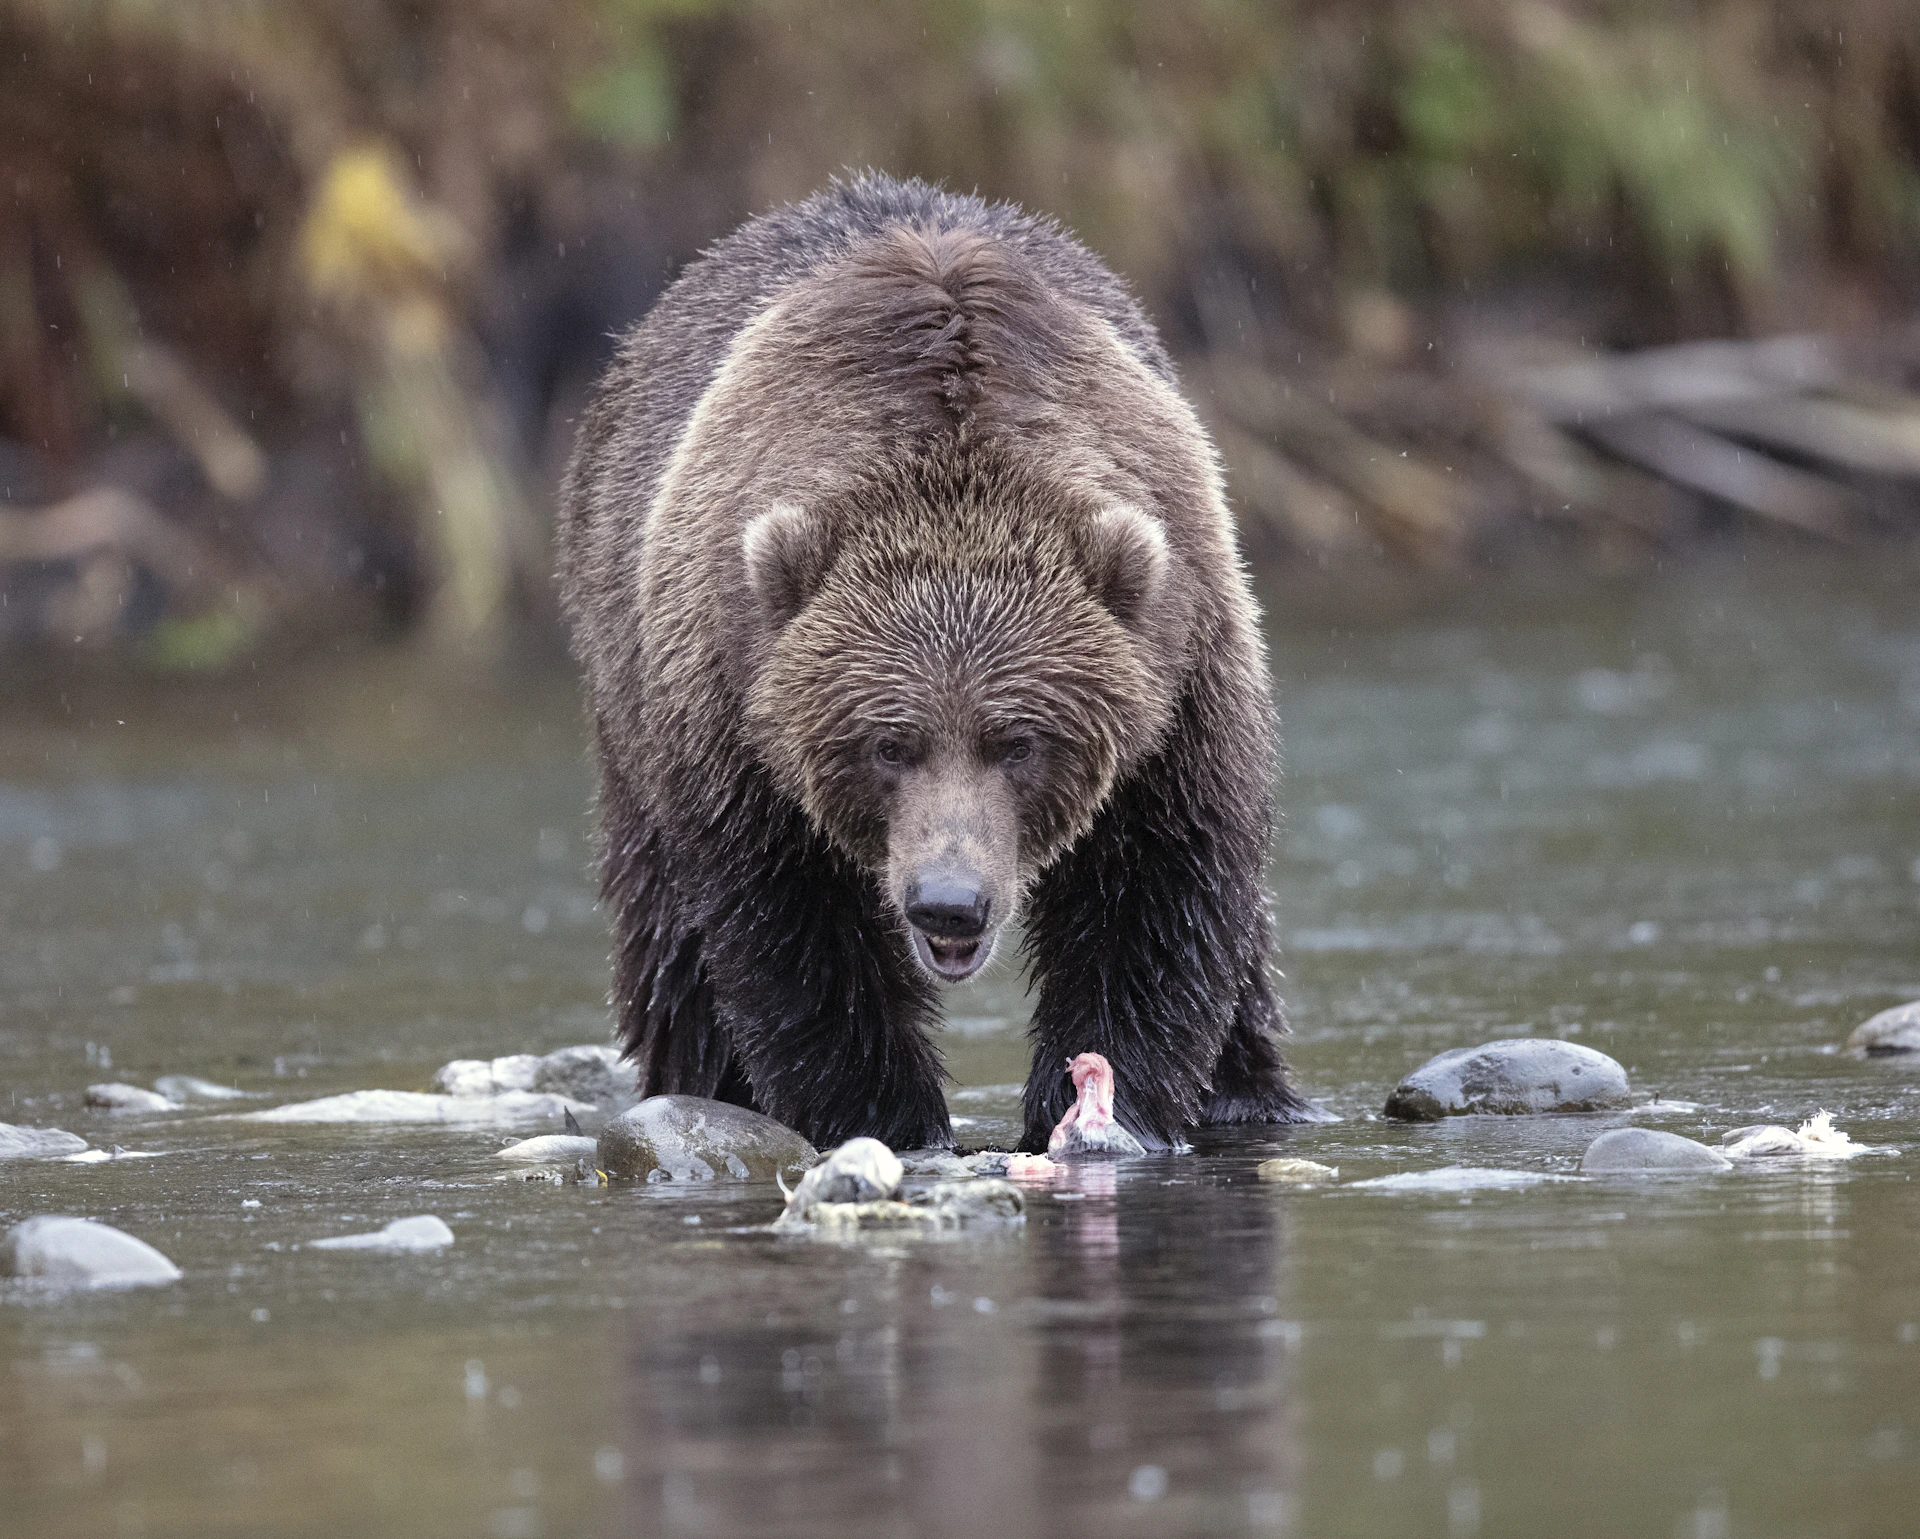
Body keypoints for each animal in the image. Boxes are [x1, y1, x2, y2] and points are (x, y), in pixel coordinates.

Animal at [558, 173, 1315, 1153]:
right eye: (889, 743)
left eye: (1020, 741)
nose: (949, 902)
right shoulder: (734, 710)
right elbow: (793, 930)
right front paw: (888, 1114)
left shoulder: (1177, 683)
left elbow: (1157, 895)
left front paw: (1113, 1105)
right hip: (627, 688)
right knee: (670, 932)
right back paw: (702, 1081)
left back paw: (1248, 1089)